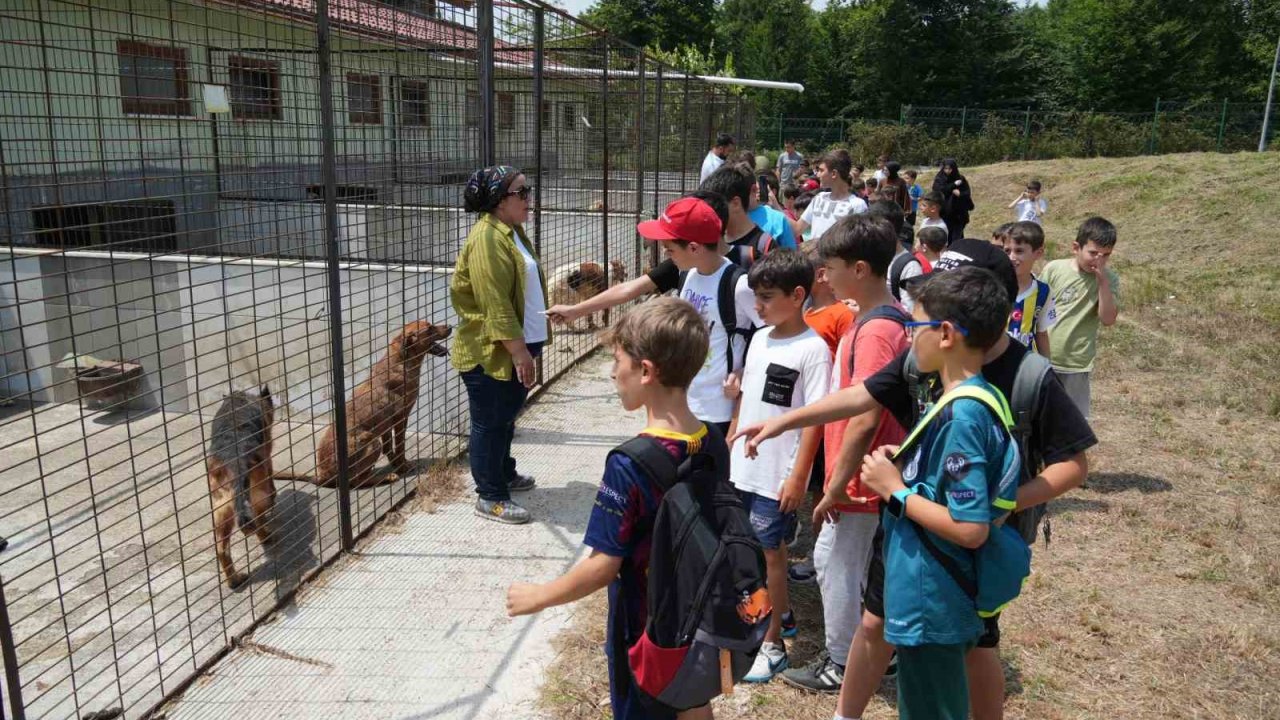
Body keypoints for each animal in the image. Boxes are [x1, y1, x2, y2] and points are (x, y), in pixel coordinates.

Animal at [207, 386, 277, 589]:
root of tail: (234, 458)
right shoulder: (267, 456)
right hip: (257, 495)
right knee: (259, 520)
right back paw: (267, 536)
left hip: (221, 507)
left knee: (222, 549)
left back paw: (234, 580)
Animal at [282, 319, 453, 486]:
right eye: (429, 328)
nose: (450, 326)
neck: (401, 362)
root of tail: (323, 476)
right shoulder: (401, 417)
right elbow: (400, 446)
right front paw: (402, 466)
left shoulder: (386, 422)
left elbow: (389, 448)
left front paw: (396, 463)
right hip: (371, 442)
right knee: (357, 481)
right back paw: (386, 477)